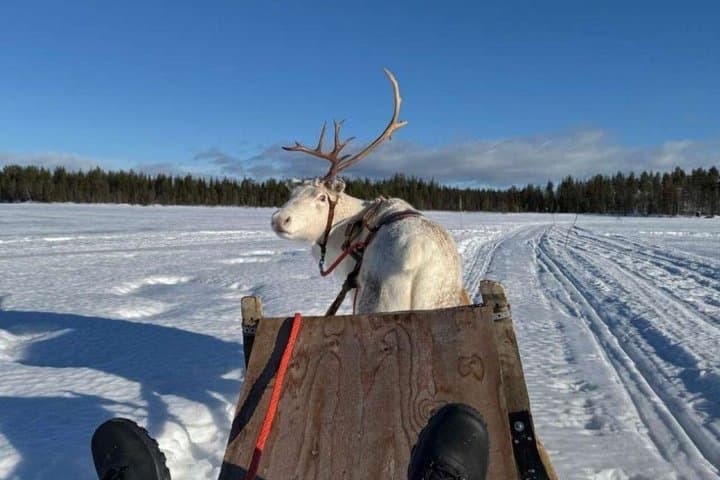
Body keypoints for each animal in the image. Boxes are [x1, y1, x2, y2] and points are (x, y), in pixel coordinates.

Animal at [271, 69, 470, 314]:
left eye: (322, 197)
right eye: (291, 194)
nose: (279, 219)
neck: (344, 229)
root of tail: (420, 254)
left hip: (377, 300)